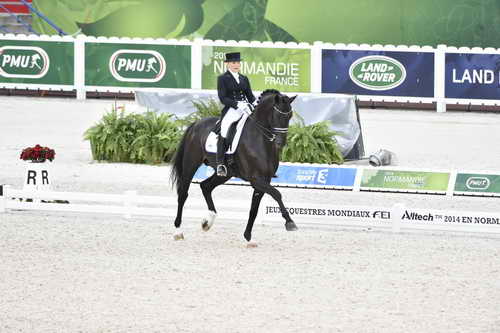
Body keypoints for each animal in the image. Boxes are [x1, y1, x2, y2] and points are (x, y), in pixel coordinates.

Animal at [170, 89, 298, 241]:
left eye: (290, 115)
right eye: (277, 115)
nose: (280, 143)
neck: (260, 139)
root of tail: (195, 124)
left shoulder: (264, 180)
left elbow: (254, 209)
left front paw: (248, 237)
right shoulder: (256, 179)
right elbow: (277, 194)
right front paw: (290, 222)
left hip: (225, 174)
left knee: (205, 186)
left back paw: (208, 221)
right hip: (190, 164)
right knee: (183, 193)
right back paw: (178, 231)